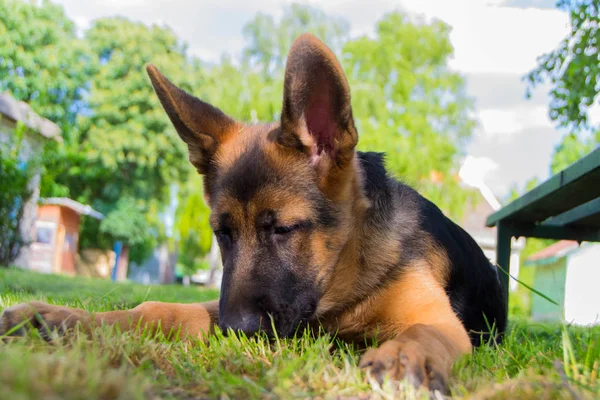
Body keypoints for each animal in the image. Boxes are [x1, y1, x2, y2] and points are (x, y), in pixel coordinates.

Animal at [0, 33, 506, 390]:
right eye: (221, 233)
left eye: (282, 228)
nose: (235, 332)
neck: (343, 279)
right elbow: (157, 308)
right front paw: (62, 319)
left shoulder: (440, 322)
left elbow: (424, 334)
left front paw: (401, 360)